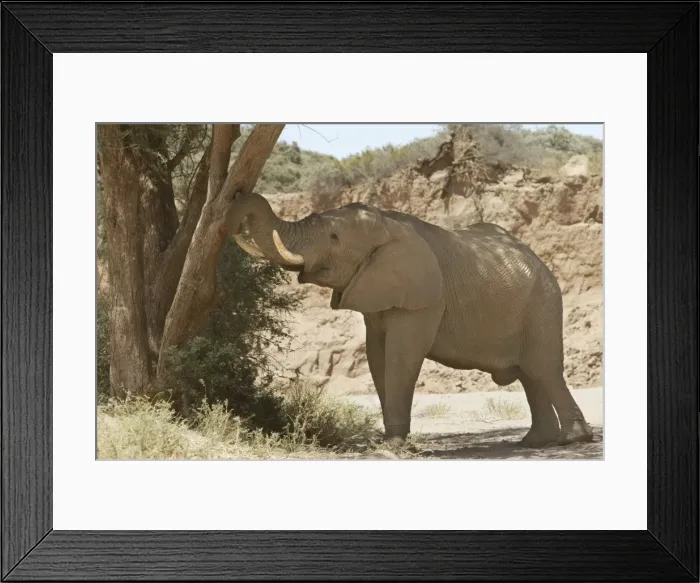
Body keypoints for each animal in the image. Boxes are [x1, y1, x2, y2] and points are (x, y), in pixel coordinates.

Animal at [227, 191, 594, 448]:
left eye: (333, 238)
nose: (232, 202)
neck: (387, 223)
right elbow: (378, 357)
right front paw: (388, 442)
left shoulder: (423, 299)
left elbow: (401, 356)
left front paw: (391, 446)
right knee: (531, 376)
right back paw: (535, 443)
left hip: (543, 304)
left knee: (543, 370)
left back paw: (572, 440)